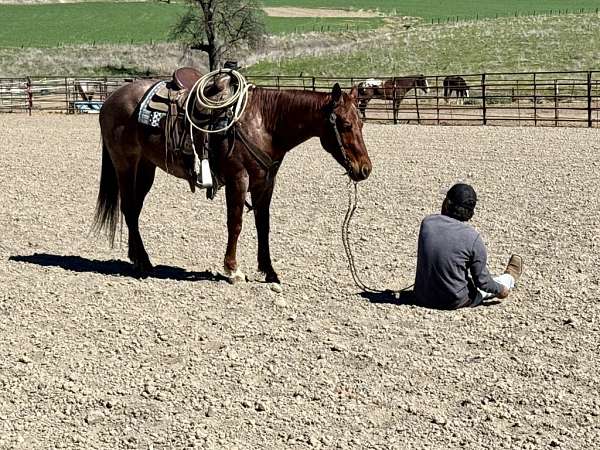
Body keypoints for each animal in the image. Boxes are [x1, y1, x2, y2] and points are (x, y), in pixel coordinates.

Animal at [94, 80, 372, 284]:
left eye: (361, 122)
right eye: (345, 124)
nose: (365, 169)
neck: (264, 122)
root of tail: (110, 99)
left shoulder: (265, 182)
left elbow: (263, 225)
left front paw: (269, 271)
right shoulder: (239, 179)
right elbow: (235, 224)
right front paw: (232, 270)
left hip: (146, 167)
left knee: (134, 209)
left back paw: (138, 258)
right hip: (125, 164)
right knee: (129, 208)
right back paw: (143, 261)